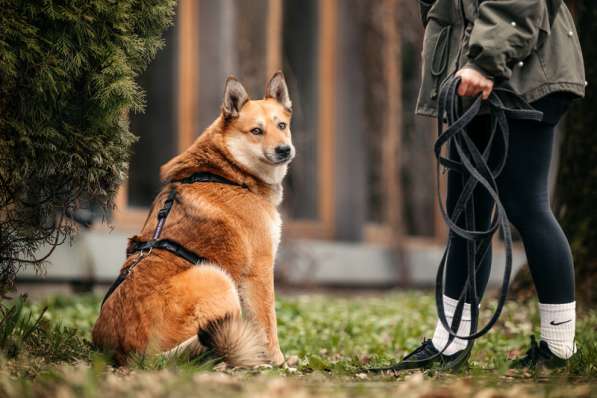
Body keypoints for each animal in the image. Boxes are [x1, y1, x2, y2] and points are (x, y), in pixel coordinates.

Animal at [92, 72, 294, 366]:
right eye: (256, 131)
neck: (229, 173)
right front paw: (278, 362)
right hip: (217, 278)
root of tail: (129, 355)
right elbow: (268, 324)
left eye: (282, 125)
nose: (284, 150)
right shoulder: (260, 271)